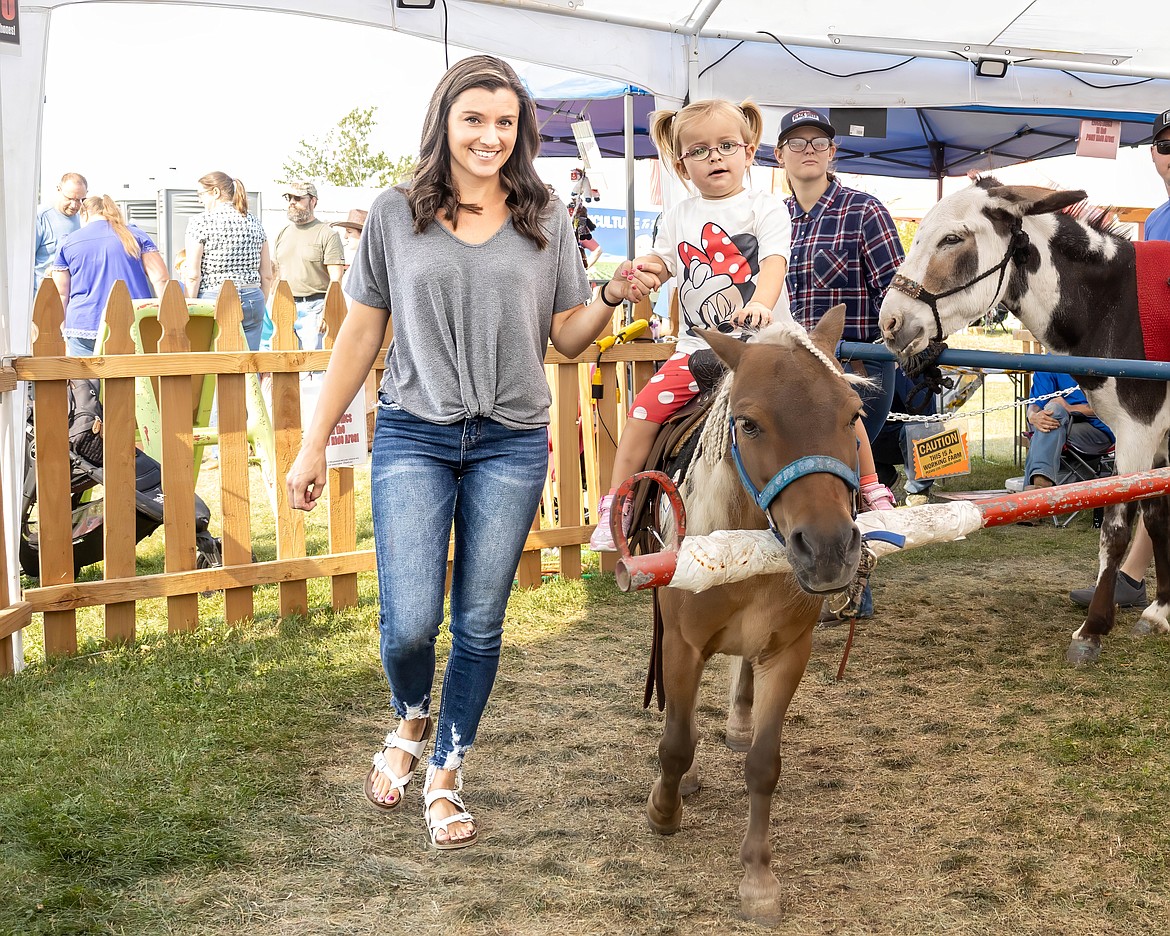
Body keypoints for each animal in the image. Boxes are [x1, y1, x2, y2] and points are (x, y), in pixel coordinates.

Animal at [650, 306, 870, 921]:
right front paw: (664, 810)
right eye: (748, 424)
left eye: (853, 414)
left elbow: (764, 764)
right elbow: (677, 742)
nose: (827, 549)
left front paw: (758, 879)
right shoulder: (682, 644)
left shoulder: (788, 651)